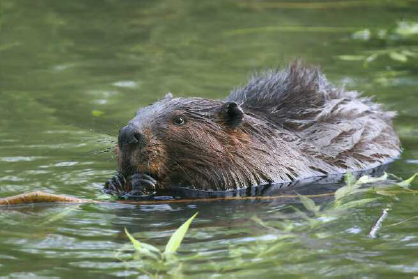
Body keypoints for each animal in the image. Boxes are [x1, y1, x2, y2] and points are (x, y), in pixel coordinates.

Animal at [103, 63, 402, 199]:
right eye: (141, 109)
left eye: (179, 121)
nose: (128, 134)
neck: (265, 139)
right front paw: (115, 182)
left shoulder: (259, 166)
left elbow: (217, 183)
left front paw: (144, 183)